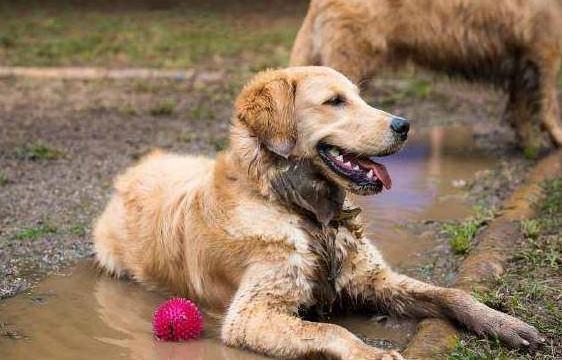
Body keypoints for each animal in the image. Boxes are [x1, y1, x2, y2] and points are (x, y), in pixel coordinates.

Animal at [93, 66, 544, 358]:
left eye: (359, 97)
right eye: (334, 101)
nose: (404, 125)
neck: (306, 214)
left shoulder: (375, 279)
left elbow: (452, 293)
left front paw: (503, 323)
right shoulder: (250, 314)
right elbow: (331, 328)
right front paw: (372, 354)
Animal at [288, 0, 560, 153]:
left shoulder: (522, 56)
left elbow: (521, 105)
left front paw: (528, 145)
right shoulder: (545, 46)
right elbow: (548, 101)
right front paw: (555, 138)